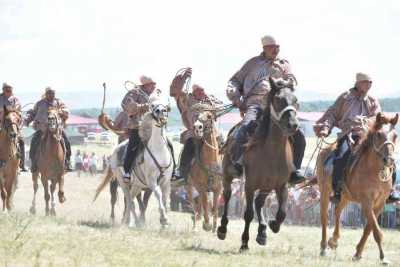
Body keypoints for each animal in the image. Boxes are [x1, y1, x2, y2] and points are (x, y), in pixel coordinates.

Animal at [97, 97, 173, 228]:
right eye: (152, 105)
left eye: (165, 106)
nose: (161, 111)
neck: (159, 151)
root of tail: (115, 150)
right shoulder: (152, 181)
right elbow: (158, 194)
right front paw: (164, 219)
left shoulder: (166, 182)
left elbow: (163, 199)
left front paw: (164, 223)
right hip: (123, 183)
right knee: (128, 200)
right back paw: (128, 221)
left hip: (137, 185)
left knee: (131, 200)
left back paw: (129, 221)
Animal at [216, 76, 300, 252]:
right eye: (278, 99)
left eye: (295, 100)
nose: (293, 125)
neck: (272, 152)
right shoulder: (249, 185)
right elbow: (248, 214)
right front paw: (244, 243)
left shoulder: (282, 186)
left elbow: (282, 213)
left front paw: (272, 224)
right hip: (228, 175)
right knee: (227, 196)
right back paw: (222, 229)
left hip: (266, 186)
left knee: (259, 202)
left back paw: (262, 232)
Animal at [318, 112, 398, 264]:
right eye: (378, 134)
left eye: (395, 135)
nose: (389, 160)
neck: (373, 171)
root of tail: (325, 151)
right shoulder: (366, 202)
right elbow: (376, 231)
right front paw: (383, 257)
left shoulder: (380, 203)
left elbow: (369, 228)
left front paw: (358, 253)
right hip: (324, 191)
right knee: (324, 217)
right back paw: (324, 247)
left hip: (345, 196)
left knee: (337, 211)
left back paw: (334, 241)